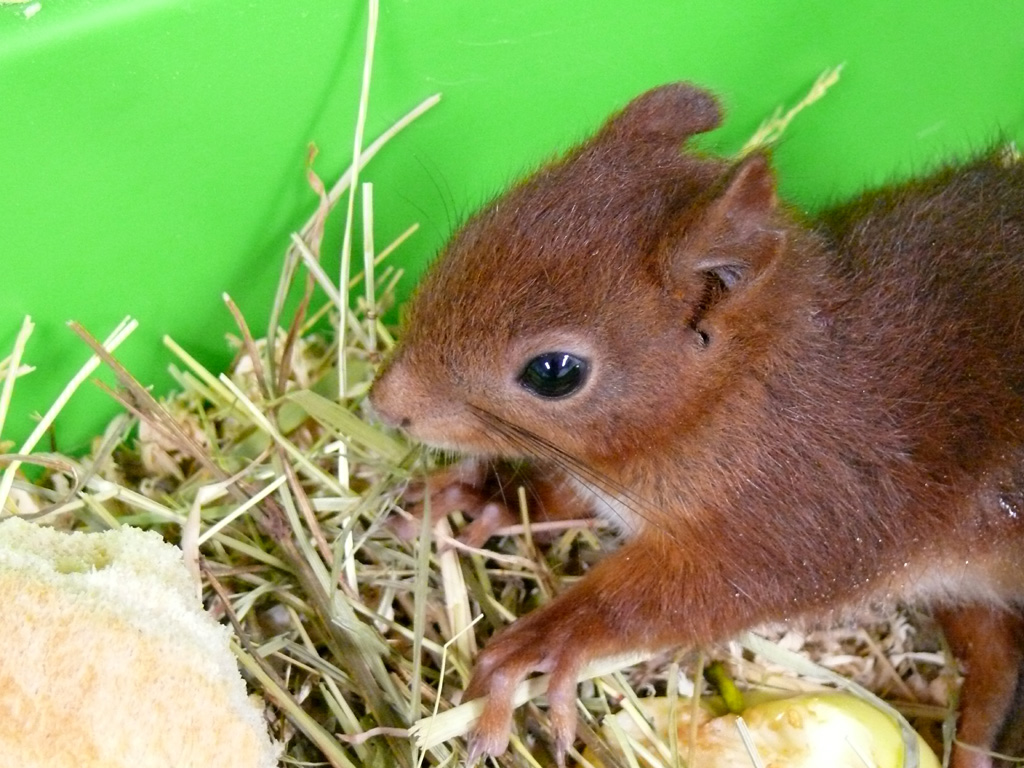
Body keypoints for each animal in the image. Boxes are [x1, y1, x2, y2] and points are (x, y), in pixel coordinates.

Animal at [370, 82, 1024, 768]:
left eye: (554, 372)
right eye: (469, 234)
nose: (385, 403)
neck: (734, 397)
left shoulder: (798, 522)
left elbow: (678, 599)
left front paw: (543, 643)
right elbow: (561, 495)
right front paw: (491, 496)